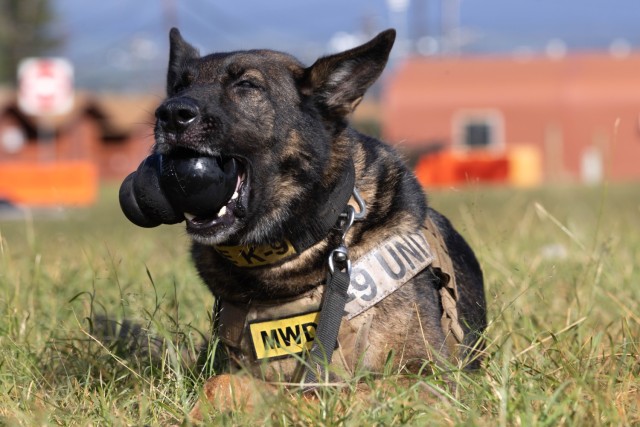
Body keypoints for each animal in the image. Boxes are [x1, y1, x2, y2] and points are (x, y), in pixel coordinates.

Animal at [154, 28, 484, 416]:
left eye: (247, 85)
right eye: (179, 86)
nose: (170, 114)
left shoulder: (426, 377)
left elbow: (319, 393)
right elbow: (217, 383)